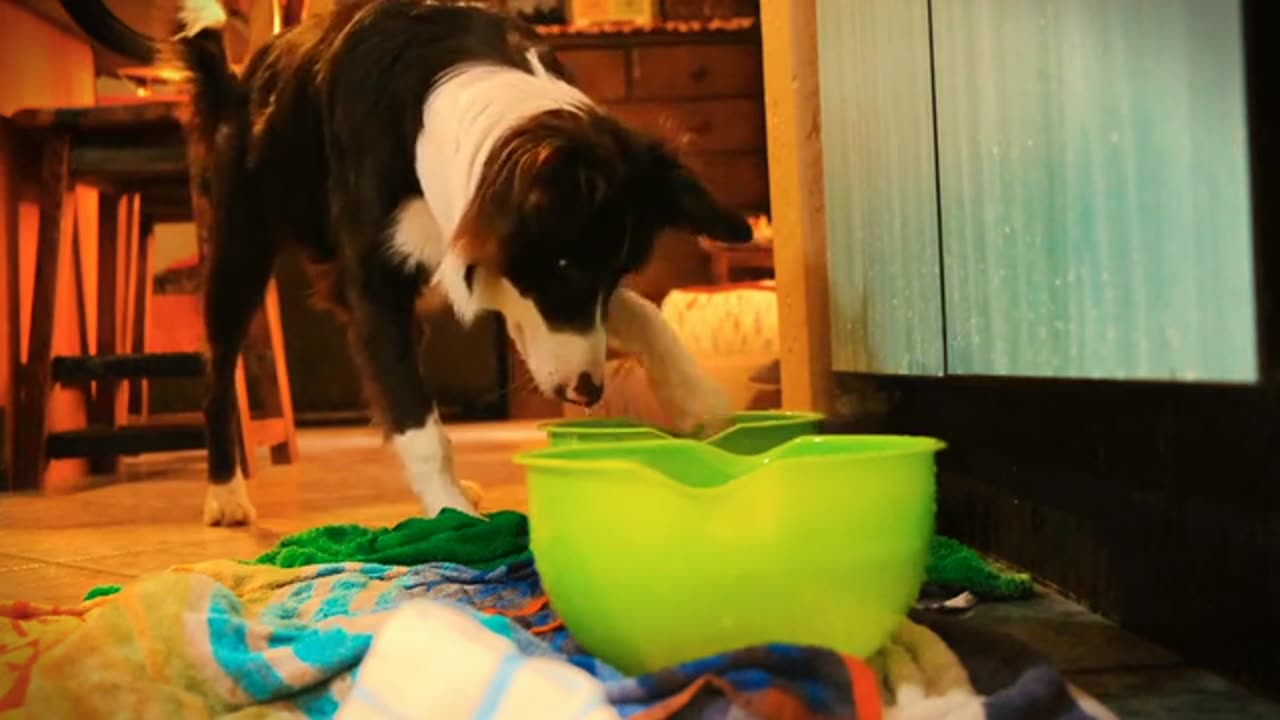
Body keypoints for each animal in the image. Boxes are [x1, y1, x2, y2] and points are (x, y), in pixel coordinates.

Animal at [171, 0, 747, 527]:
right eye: (564, 265)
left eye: (615, 275)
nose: (587, 393)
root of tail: (240, 77)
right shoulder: (379, 289)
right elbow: (419, 423)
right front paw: (453, 520)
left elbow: (644, 313)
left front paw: (700, 401)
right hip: (238, 256)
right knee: (217, 380)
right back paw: (225, 495)